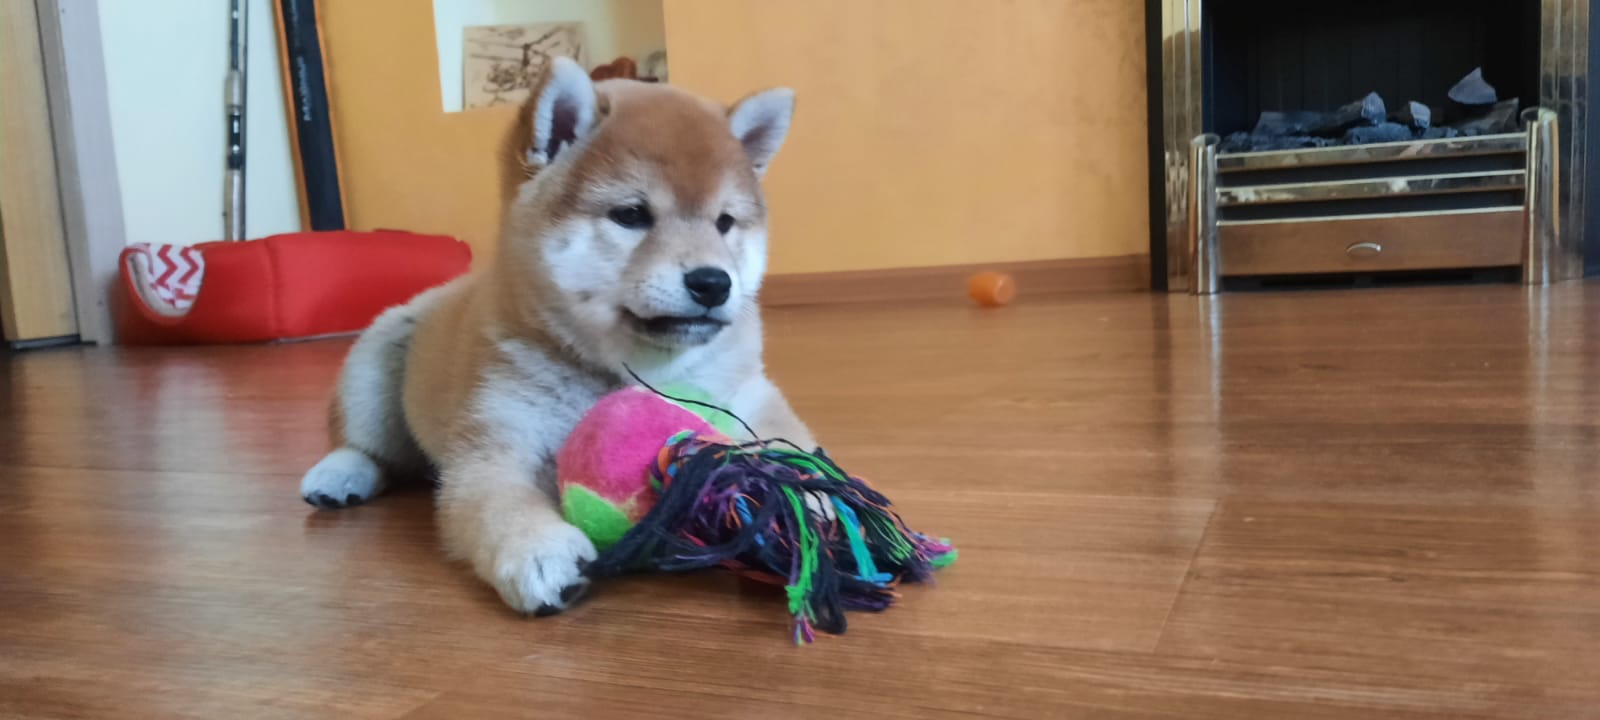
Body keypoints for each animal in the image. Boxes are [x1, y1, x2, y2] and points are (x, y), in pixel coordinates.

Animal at [299, 57, 814, 615]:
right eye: (631, 215)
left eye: (724, 222)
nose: (714, 282)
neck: (627, 371)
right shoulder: (495, 441)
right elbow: (502, 503)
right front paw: (539, 549)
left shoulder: (749, 394)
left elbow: (795, 446)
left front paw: (812, 500)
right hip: (374, 367)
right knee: (367, 446)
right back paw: (338, 475)